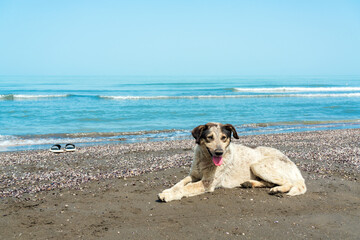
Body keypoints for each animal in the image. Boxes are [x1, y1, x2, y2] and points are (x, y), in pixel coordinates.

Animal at [158, 122, 306, 202]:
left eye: (224, 138)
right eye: (209, 137)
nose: (219, 152)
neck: (204, 159)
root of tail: (294, 166)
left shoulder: (207, 182)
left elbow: (186, 187)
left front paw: (168, 195)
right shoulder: (193, 175)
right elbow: (179, 183)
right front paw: (169, 190)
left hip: (258, 165)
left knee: (288, 182)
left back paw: (277, 189)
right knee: (270, 182)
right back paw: (250, 183)